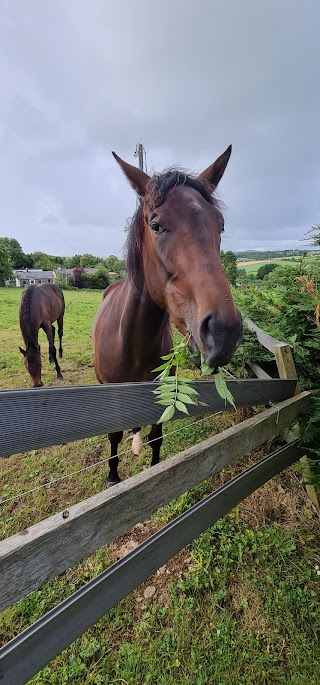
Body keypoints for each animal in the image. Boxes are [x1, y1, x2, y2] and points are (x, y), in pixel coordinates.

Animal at [92, 146, 242, 484]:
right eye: (156, 225)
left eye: (220, 225)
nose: (224, 332)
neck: (131, 345)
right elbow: (113, 436)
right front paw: (112, 477)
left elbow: (156, 437)